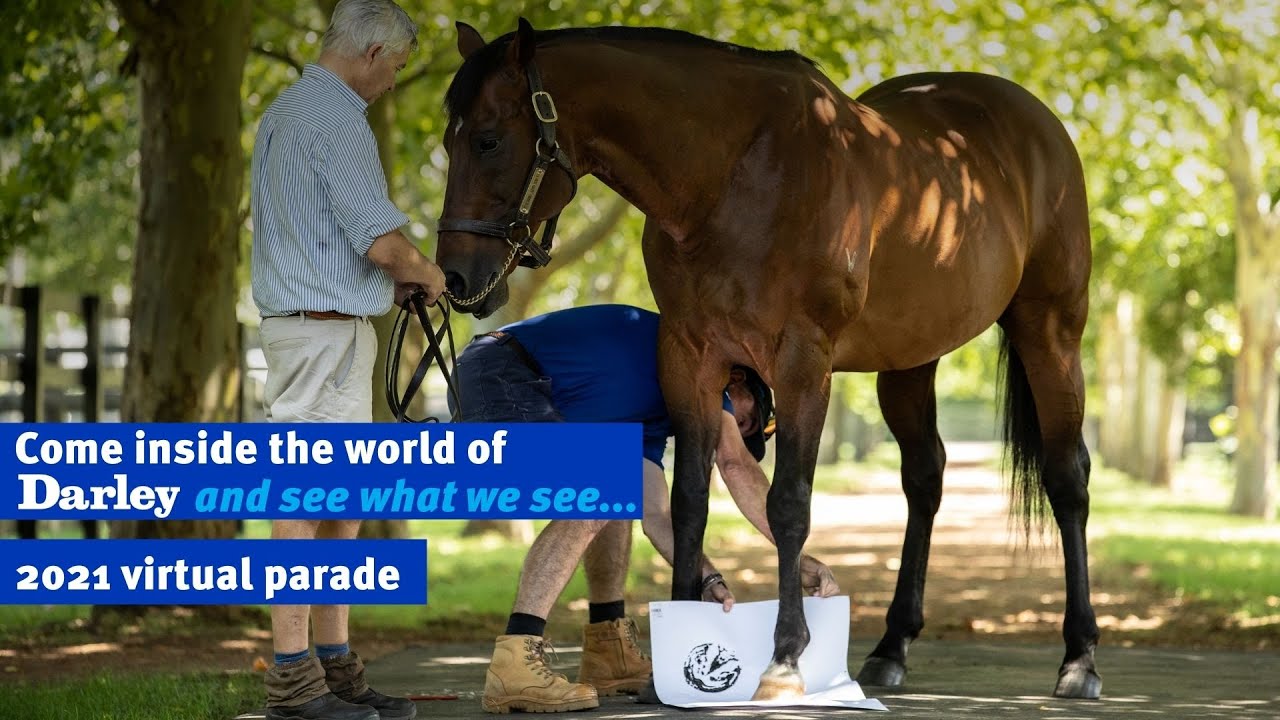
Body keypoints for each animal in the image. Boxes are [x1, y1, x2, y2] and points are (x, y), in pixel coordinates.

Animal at [434, 18, 1101, 701]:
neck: (732, 176)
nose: (455, 275)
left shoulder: (804, 361)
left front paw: (785, 657)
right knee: (925, 476)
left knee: (1066, 476)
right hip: (910, 357)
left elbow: (787, 505)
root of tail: (1035, 124)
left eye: (488, 140)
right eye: (449, 139)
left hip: (1050, 330)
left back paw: (1079, 659)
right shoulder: (688, 359)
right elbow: (689, 504)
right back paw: (892, 647)